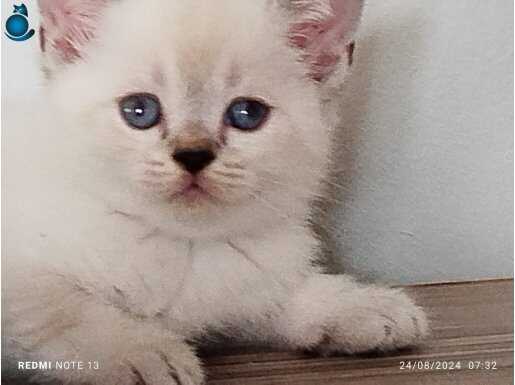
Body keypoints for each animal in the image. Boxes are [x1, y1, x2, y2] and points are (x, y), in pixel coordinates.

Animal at [4, 0, 430, 384]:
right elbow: (54, 305)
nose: (193, 155)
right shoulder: (22, 277)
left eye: (247, 114)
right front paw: (142, 353)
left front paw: (363, 307)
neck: (183, 244)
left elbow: (277, 297)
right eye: (139, 110)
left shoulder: (242, 291)